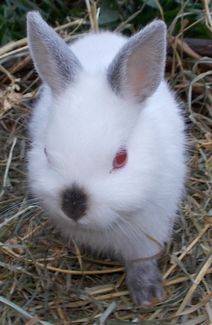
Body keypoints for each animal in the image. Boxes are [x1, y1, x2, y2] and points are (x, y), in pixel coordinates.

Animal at [27, 11, 186, 306]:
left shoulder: (150, 231)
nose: (73, 206)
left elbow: (142, 262)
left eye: (121, 159)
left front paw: (147, 296)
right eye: (46, 153)